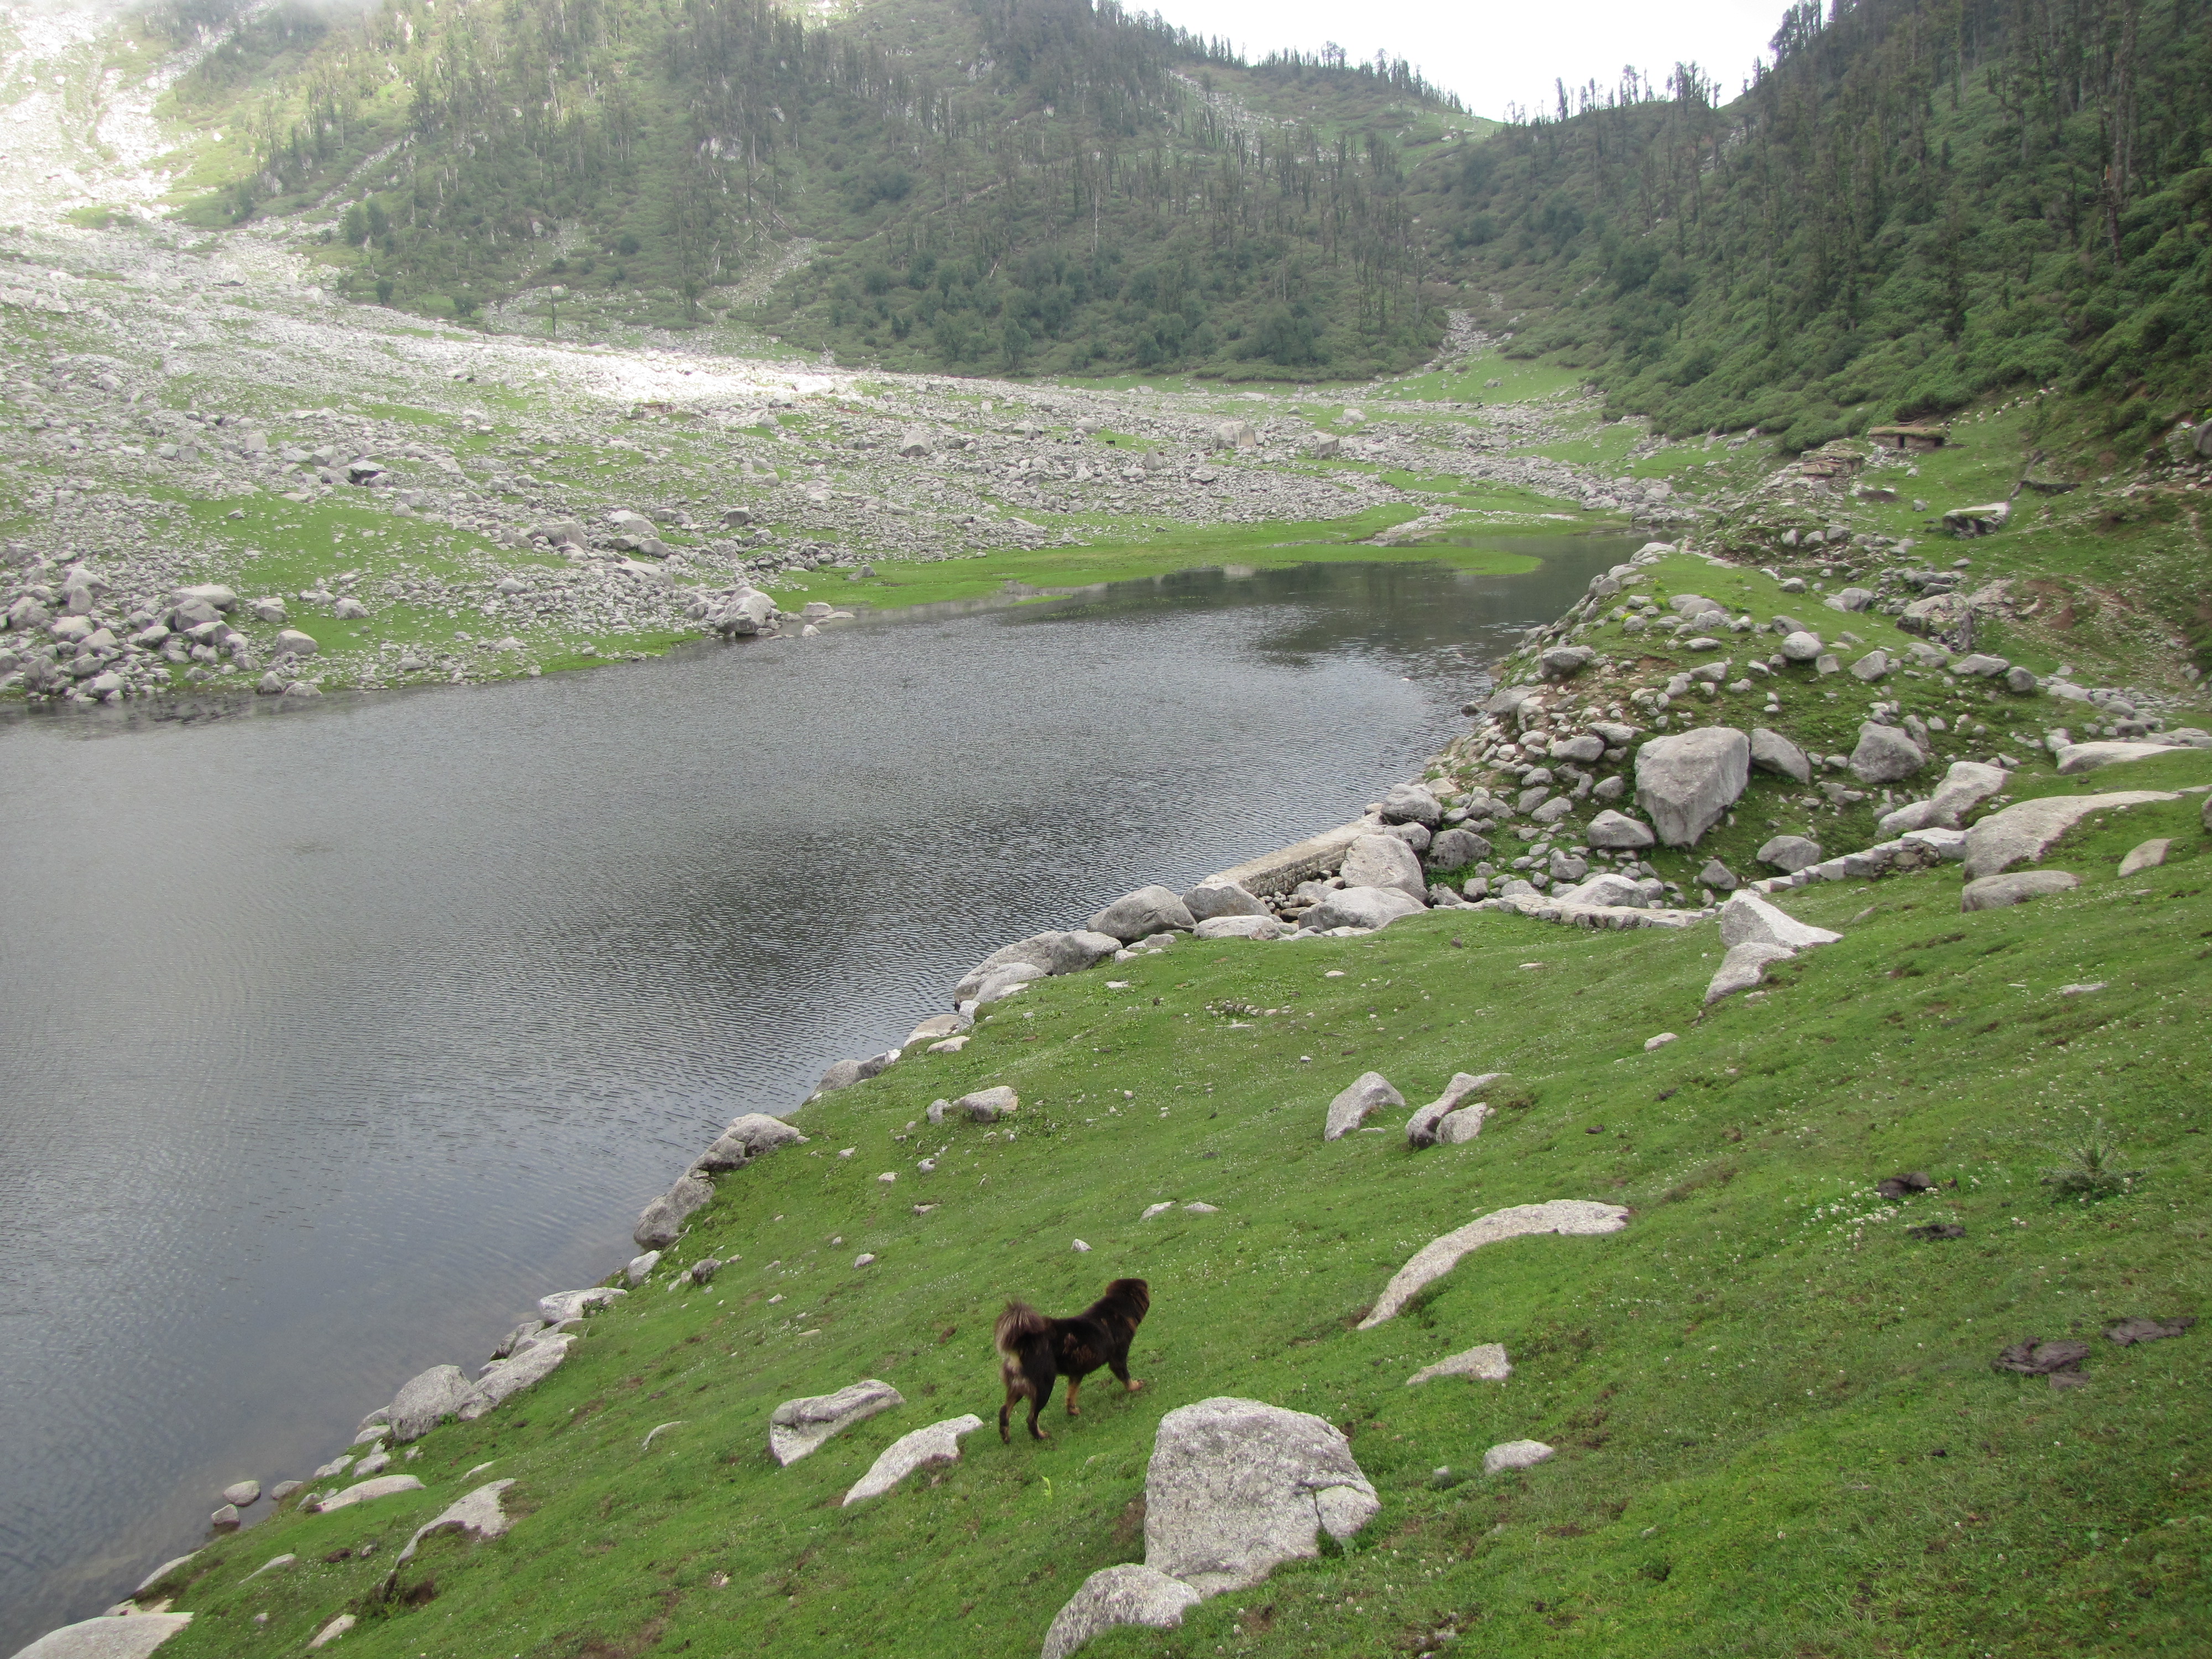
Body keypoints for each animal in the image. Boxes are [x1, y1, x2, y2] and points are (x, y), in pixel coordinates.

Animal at [995, 1283, 1150, 1451]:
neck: (1115, 1311)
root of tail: (1023, 1344)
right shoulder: (1118, 1358)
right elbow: (1125, 1376)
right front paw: (1134, 1387)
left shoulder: (1076, 1373)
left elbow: (1071, 1395)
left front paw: (1072, 1411)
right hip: (1043, 1387)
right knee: (1031, 1419)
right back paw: (1041, 1436)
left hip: (1019, 1387)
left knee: (1004, 1411)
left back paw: (1006, 1436)